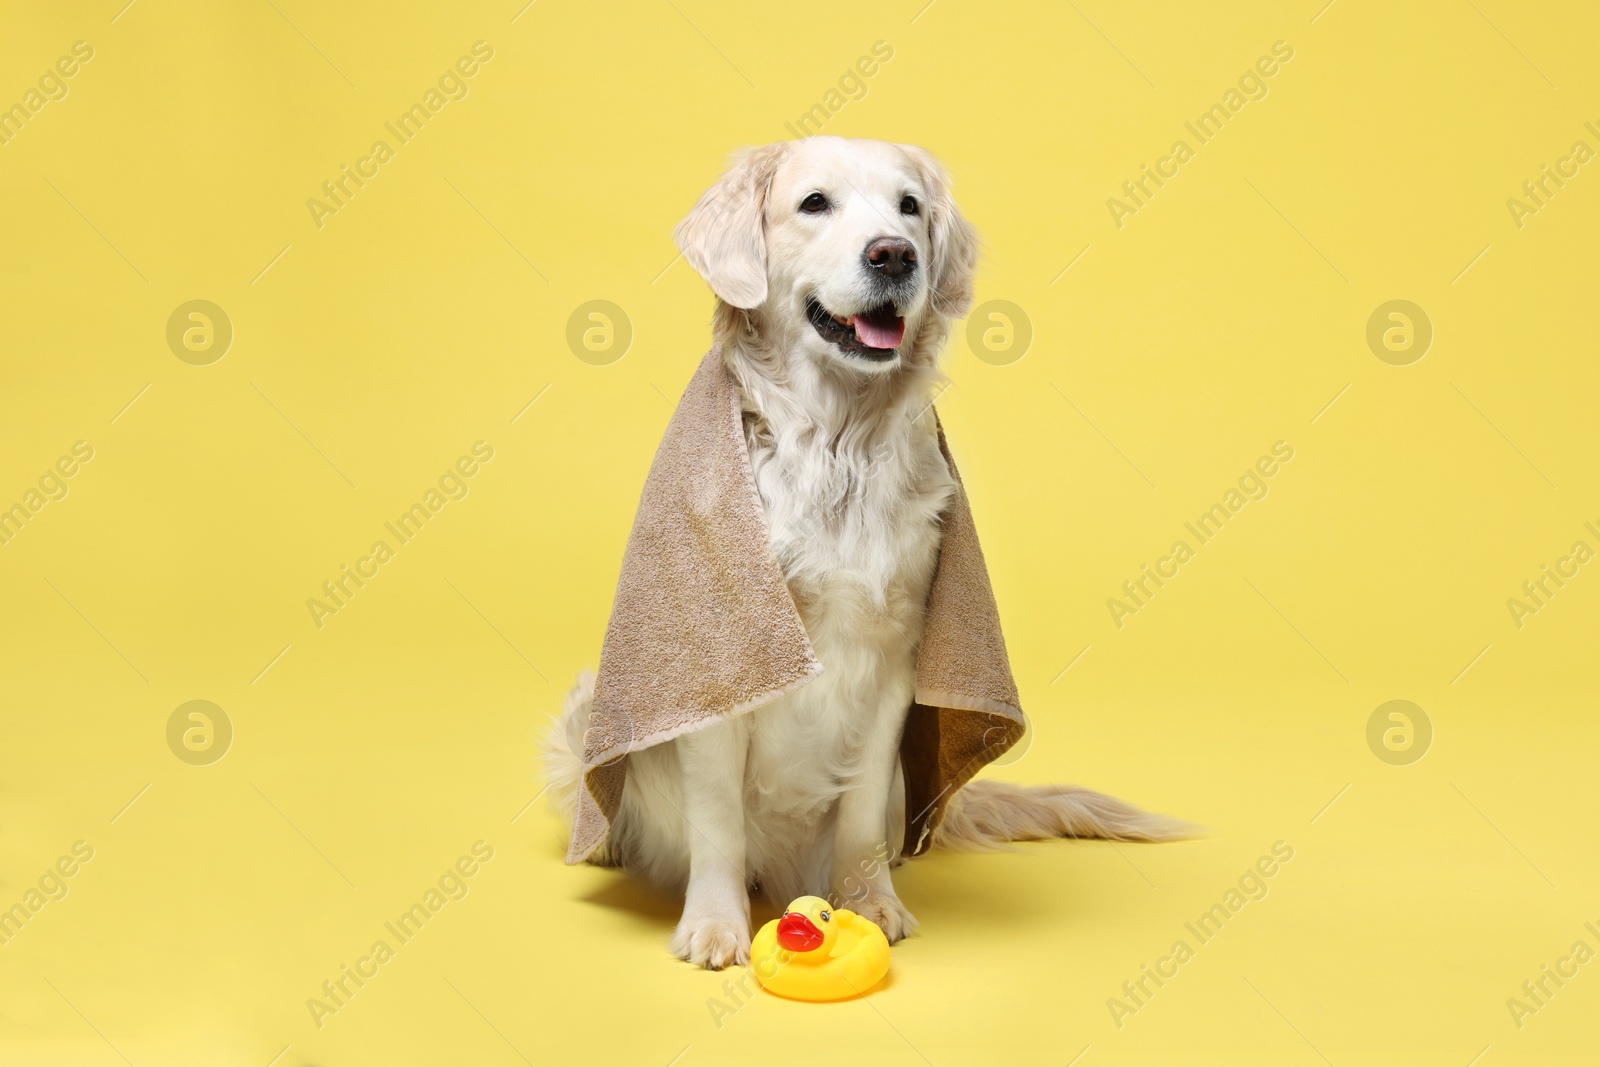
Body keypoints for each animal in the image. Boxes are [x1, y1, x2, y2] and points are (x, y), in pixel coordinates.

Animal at [544, 137, 1184, 972]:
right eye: (815, 203)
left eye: (909, 206)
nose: (894, 253)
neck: (838, 444)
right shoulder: (724, 656)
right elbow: (716, 816)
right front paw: (714, 924)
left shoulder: (897, 659)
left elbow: (859, 809)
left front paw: (871, 903)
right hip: (592, 701)